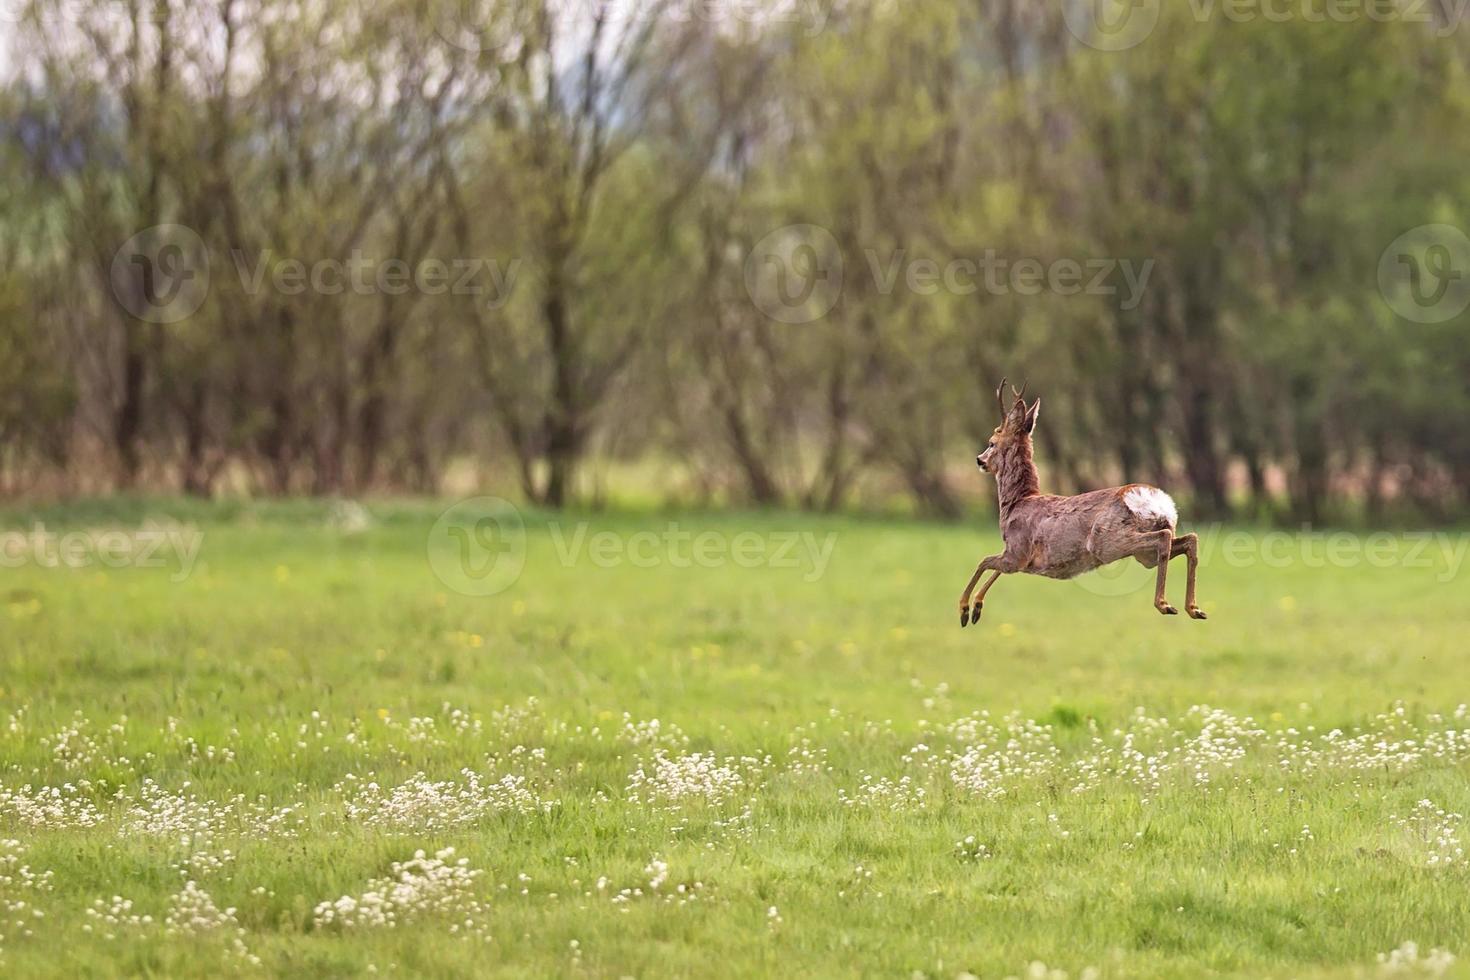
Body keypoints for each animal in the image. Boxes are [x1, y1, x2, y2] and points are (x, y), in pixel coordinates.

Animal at [964, 379, 1205, 625]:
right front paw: (976, 609)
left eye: (991, 443)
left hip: (1106, 541)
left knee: (1164, 538)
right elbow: (992, 567)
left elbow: (984, 561)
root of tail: (1153, 500)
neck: (1018, 501)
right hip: (1145, 553)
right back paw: (1194, 608)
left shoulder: (1018, 553)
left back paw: (1165, 604)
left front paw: (966, 610)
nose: (979, 460)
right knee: (1189, 540)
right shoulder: (1018, 557)